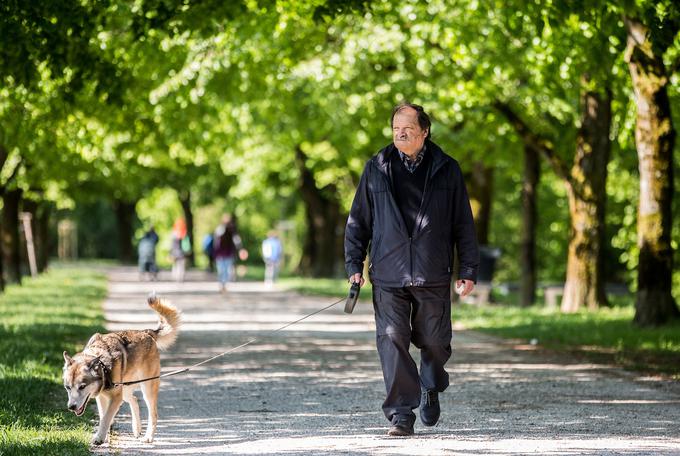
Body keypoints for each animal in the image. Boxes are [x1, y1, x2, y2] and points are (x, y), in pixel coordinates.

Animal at [62, 292, 181, 446]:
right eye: (67, 387)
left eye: (82, 386)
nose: (71, 407)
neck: (103, 366)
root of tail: (147, 333)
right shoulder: (102, 397)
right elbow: (103, 417)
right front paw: (104, 437)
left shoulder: (115, 398)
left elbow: (106, 417)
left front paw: (99, 438)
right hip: (126, 388)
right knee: (134, 399)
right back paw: (137, 429)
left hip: (147, 387)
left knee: (153, 413)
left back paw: (148, 436)